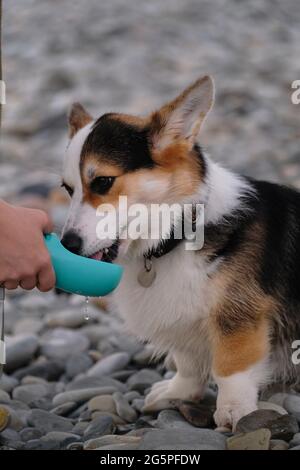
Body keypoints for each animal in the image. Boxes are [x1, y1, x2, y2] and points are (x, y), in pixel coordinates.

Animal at [60, 76, 300, 430]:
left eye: (103, 181)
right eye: (67, 189)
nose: (67, 245)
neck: (179, 231)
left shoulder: (238, 318)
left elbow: (232, 369)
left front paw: (235, 412)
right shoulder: (183, 322)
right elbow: (187, 362)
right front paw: (178, 393)